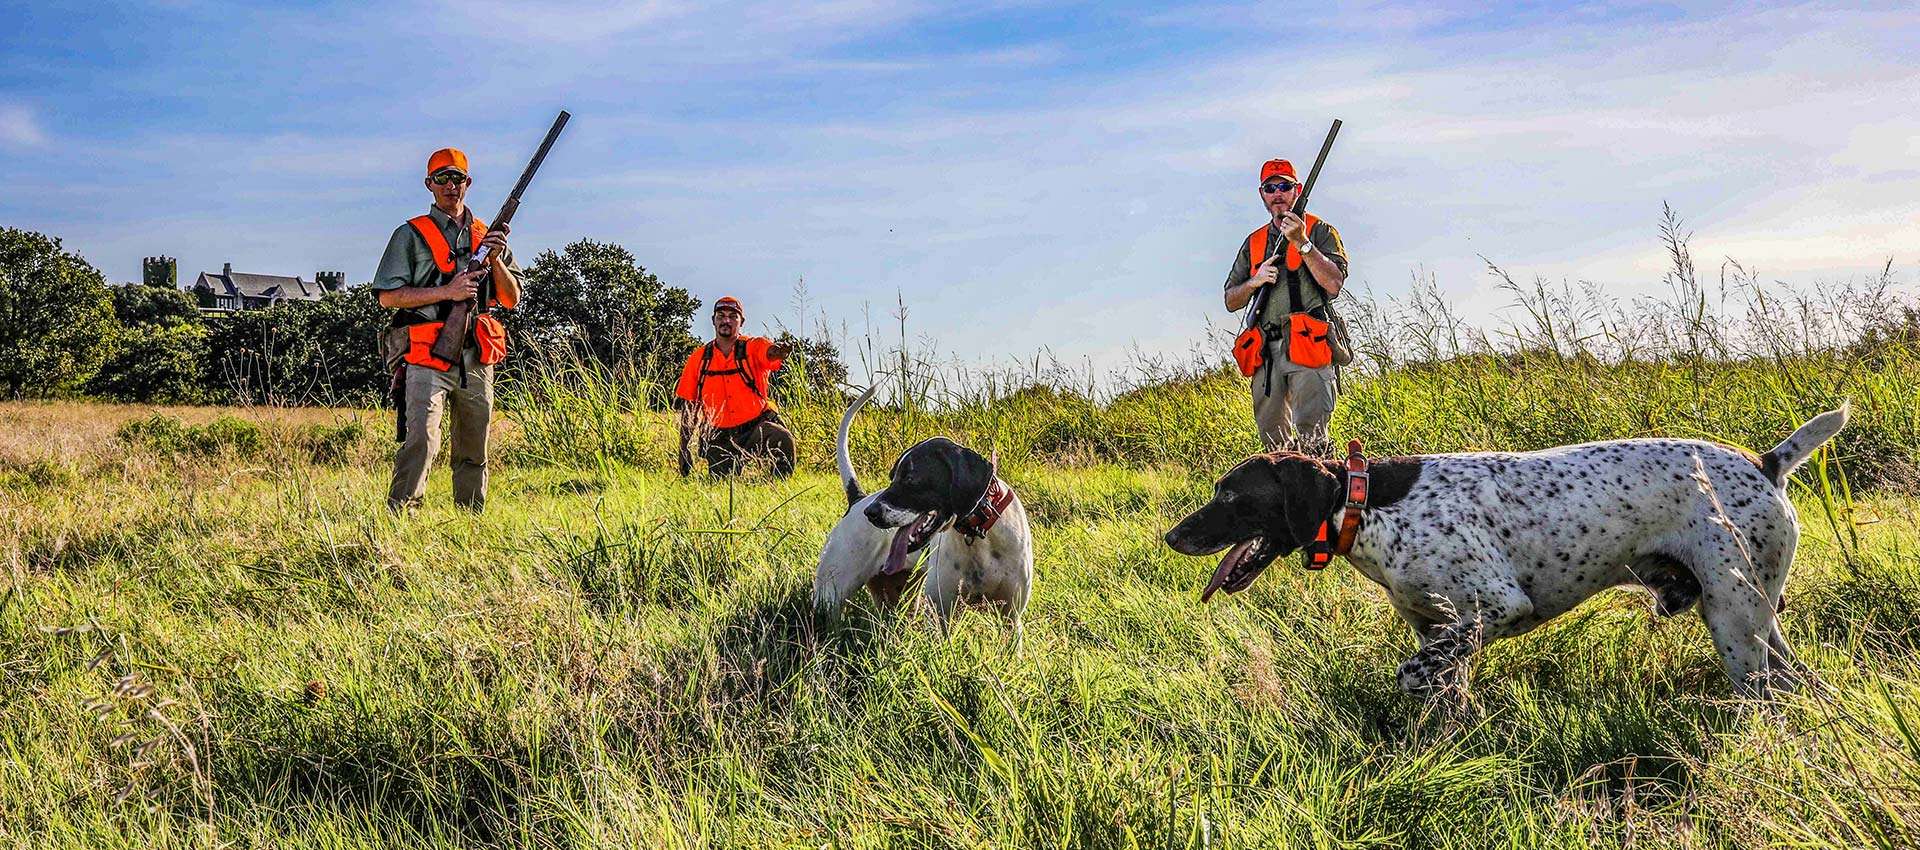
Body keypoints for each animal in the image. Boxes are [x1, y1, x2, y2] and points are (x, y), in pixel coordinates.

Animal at [821, 385, 1044, 633]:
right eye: (892, 477)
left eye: (910, 478)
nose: (871, 513)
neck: (978, 534)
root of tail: (857, 500)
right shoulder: (940, 612)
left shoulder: (1011, 616)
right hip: (830, 595)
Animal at [1159, 406, 1850, 698]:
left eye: (1231, 495)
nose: (1171, 537)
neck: (1369, 504)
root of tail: (1765, 463)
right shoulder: (1441, 629)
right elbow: (1443, 690)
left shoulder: (1494, 608)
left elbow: (1414, 675)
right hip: (1754, 621)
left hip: (1735, 623)